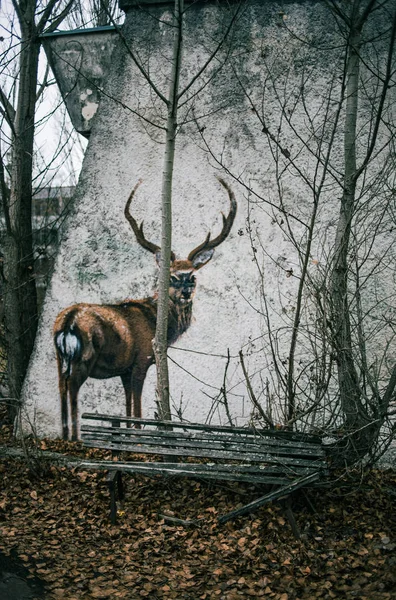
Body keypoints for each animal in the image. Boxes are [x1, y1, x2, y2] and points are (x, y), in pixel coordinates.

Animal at [53, 178, 237, 440]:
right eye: (172, 277)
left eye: (192, 277)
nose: (185, 292)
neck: (156, 321)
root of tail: (67, 321)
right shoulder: (141, 360)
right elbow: (138, 409)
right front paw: (139, 439)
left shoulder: (124, 369)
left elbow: (128, 407)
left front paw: (128, 435)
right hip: (83, 356)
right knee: (72, 389)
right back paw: (75, 438)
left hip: (59, 358)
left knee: (61, 387)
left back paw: (65, 436)